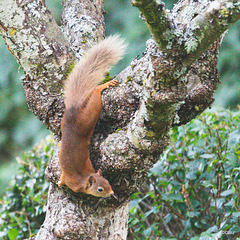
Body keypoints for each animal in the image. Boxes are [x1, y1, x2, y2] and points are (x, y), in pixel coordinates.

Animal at [58, 35, 126, 197]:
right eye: (100, 189)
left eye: (108, 181)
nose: (112, 192)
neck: (83, 179)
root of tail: (73, 110)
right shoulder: (72, 183)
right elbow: (64, 179)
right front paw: (60, 182)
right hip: (88, 118)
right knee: (95, 94)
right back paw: (102, 86)